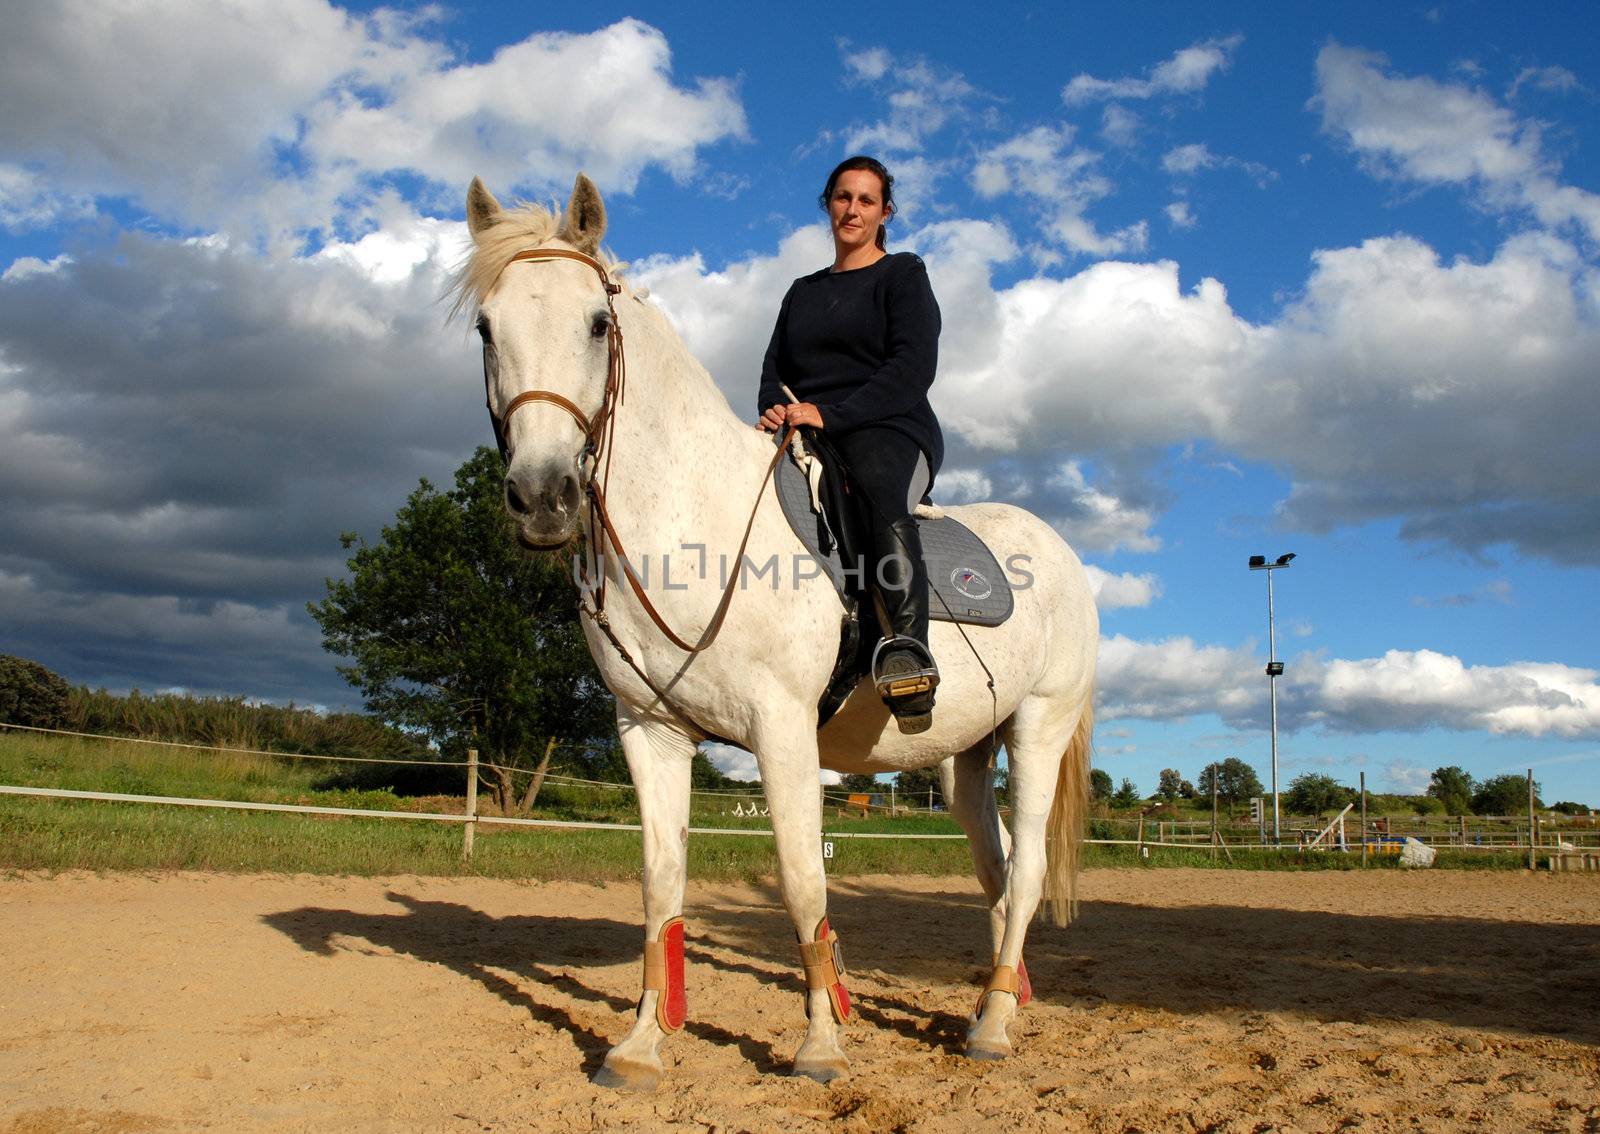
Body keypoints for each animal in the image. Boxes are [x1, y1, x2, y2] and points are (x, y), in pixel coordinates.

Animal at [457, 172, 1094, 1081]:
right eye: (487, 326)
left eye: (596, 324)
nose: (543, 497)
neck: (698, 521)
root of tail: (1058, 550)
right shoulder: (649, 731)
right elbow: (661, 883)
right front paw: (642, 1045)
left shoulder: (782, 729)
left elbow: (801, 880)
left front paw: (821, 1043)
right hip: (964, 757)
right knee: (996, 870)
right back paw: (1001, 1000)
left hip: (1040, 726)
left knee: (1031, 865)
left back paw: (994, 1027)